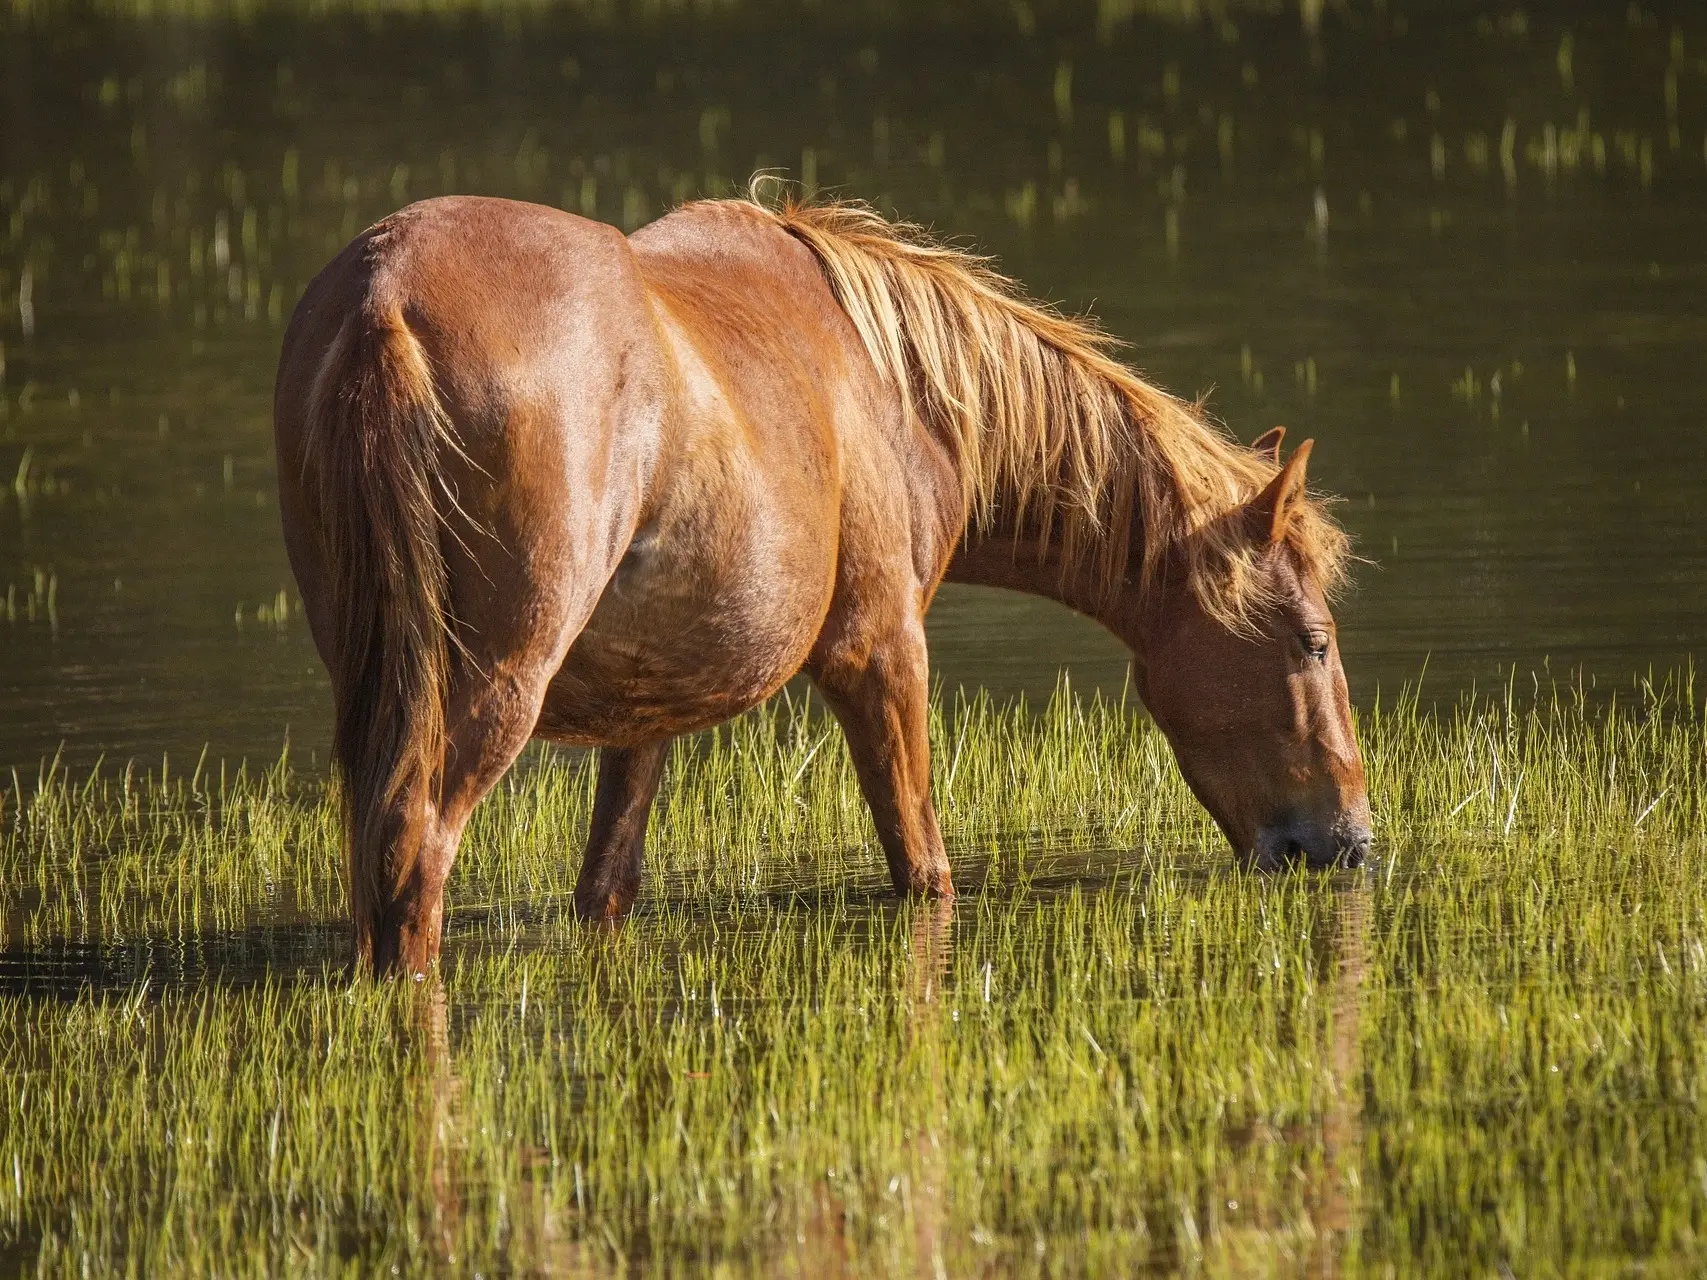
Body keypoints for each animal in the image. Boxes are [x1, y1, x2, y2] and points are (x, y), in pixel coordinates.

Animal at [276, 190, 1372, 976]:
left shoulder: (644, 718)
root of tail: (386, 292)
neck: (902, 393)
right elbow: (922, 866)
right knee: (414, 851)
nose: (1349, 839)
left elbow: (606, 887)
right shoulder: (881, 655)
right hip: (492, 687)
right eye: (1311, 641)